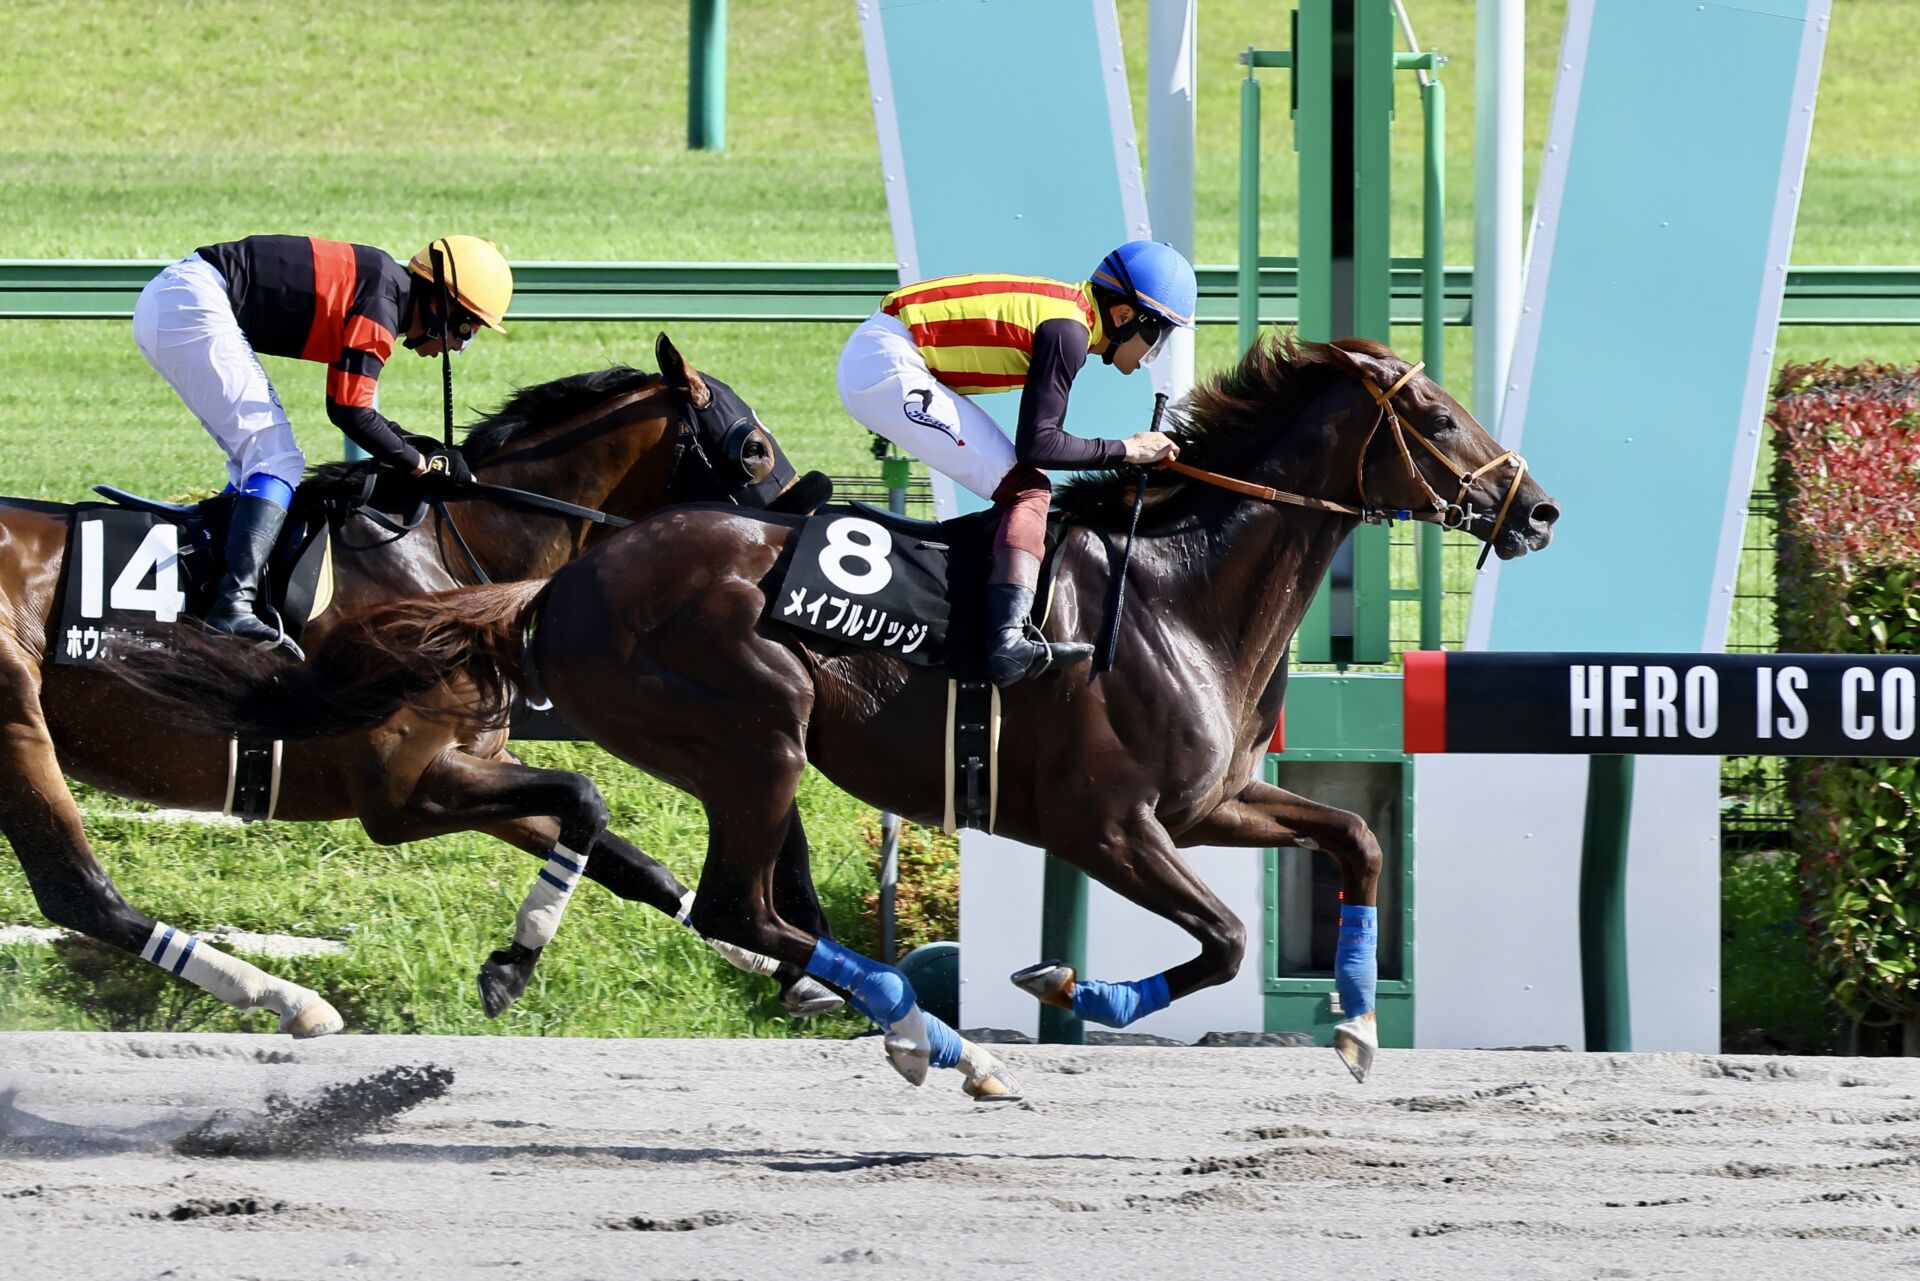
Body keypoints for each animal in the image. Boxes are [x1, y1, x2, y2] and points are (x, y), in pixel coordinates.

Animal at [3, 334, 837, 1044]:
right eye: (754, 447)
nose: (807, 550)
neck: (446, 559)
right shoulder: (399, 786)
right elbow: (585, 796)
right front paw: (511, 967)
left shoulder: (471, 763)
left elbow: (625, 856)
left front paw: (789, 970)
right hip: (18, 723)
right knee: (81, 891)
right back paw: (291, 999)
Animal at [116, 338, 1559, 1090]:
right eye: (1435, 415)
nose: (1536, 508)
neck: (1172, 589)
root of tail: (566, 579)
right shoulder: (1109, 823)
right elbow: (1220, 940)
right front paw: (1072, 985)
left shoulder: (1210, 799)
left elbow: (1351, 844)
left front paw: (1360, 1019)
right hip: (759, 730)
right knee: (740, 904)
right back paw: (920, 1032)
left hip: (737, 751)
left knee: (739, 901)